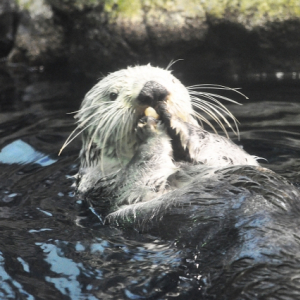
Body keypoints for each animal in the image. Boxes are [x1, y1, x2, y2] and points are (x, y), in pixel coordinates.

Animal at [60, 64, 300, 298]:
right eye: (112, 95)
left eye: (171, 80)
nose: (153, 90)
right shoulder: (106, 188)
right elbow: (139, 179)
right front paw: (151, 128)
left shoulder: (232, 159)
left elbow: (225, 150)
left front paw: (178, 123)